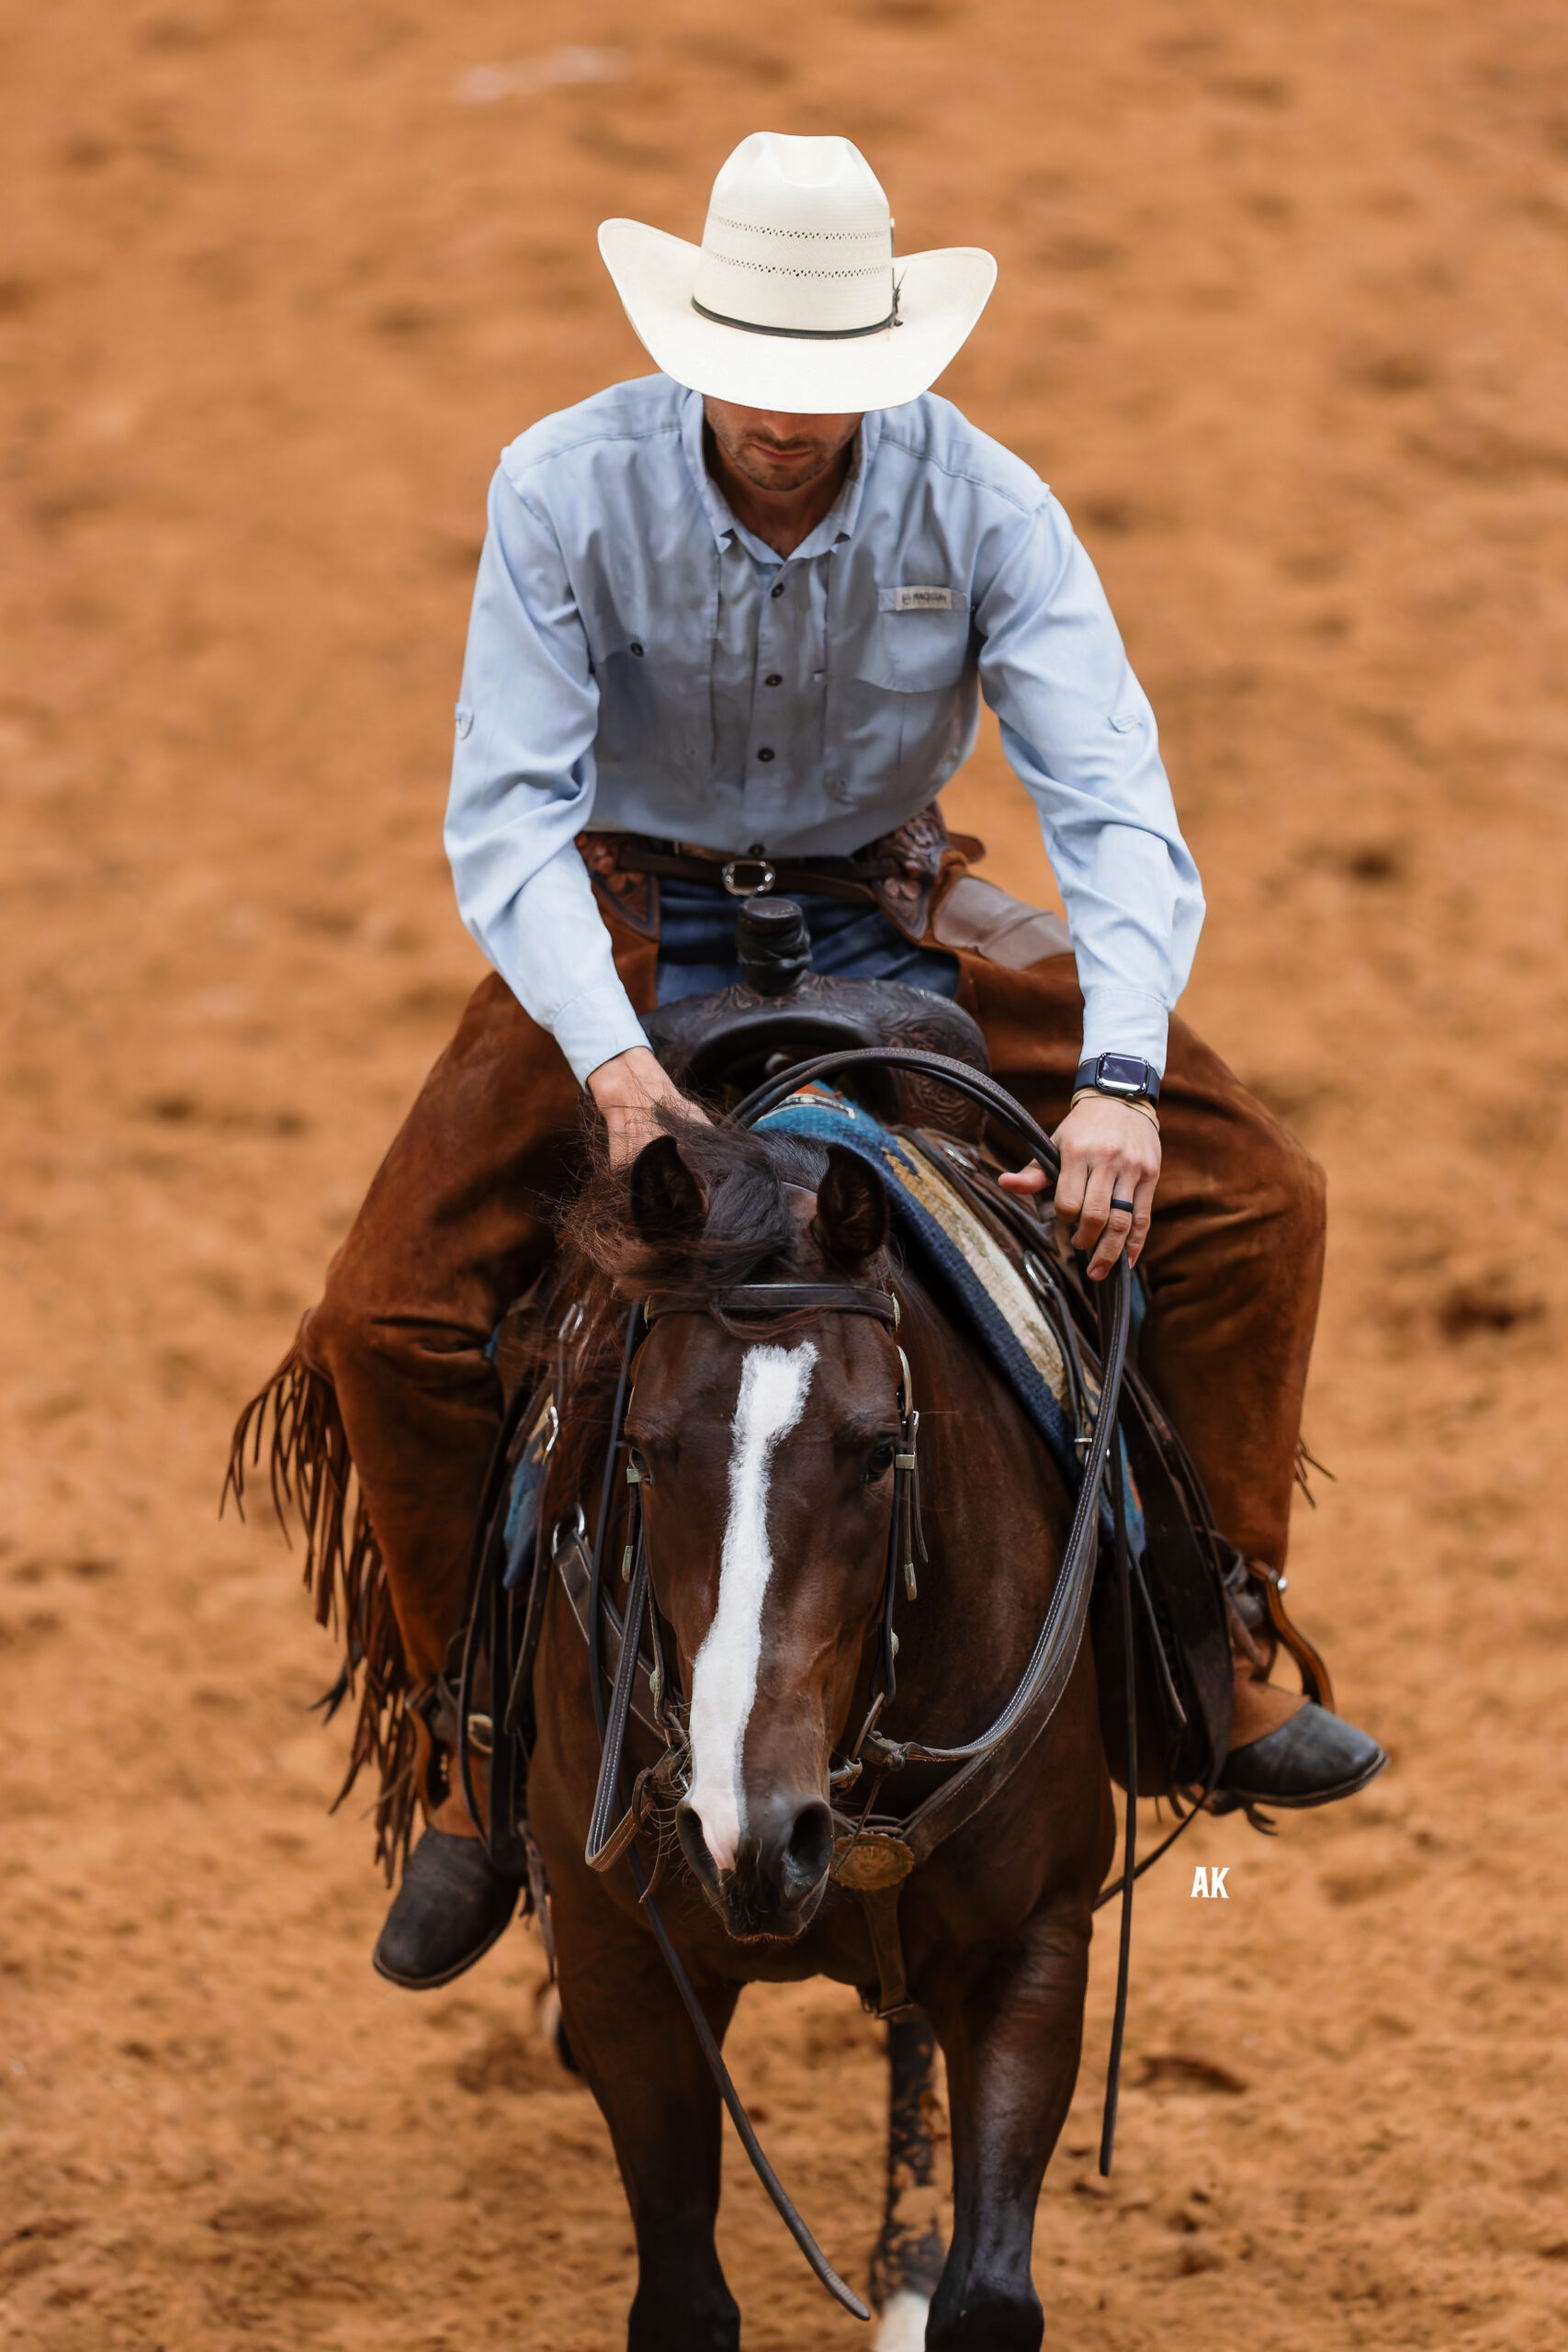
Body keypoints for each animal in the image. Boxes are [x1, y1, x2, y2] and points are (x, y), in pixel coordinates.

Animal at [520, 1108, 1119, 2351]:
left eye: (880, 1443)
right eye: (642, 1444)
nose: (749, 1835)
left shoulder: (1034, 1941)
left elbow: (991, 2299)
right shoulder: (624, 1961)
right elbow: (684, 2304)